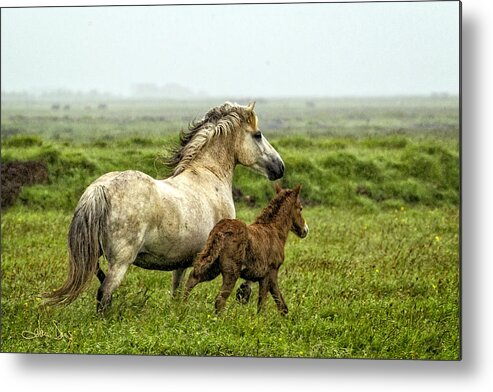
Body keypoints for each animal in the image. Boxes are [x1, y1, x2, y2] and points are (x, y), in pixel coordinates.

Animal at [44, 100, 286, 312]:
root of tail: (100, 188)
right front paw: (243, 294)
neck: (209, 175)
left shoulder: (183, 260)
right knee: (104, 293)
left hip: (95, 258)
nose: (280, 167)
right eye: (257, 135)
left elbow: (177, 291)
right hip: (120, 262)